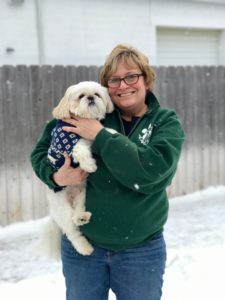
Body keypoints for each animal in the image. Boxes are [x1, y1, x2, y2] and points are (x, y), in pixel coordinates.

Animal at [37, 81, 114, 258]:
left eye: (97, 94)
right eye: (81, 96)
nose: (91, 98)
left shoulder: (90, 138)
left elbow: (100, 133)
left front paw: (113, 132)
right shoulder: (69, 145)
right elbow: (80, 150)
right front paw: (90, 165)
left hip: (82, 194)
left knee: (77, 214)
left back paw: (82, 217)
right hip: (62, 208)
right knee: (72, 230)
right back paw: (84, 247)